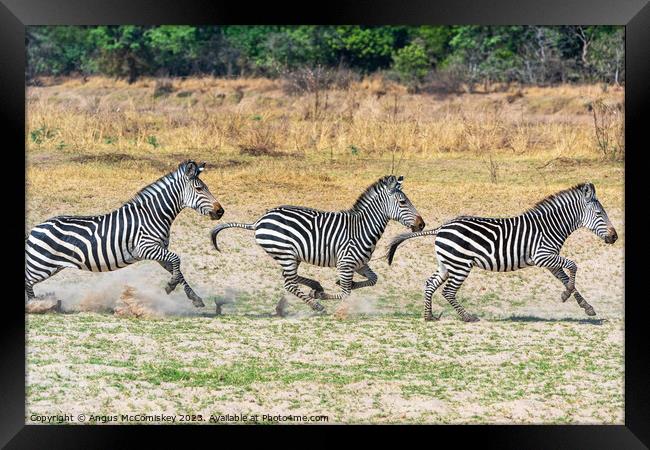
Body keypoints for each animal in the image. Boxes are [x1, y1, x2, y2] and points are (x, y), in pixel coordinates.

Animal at [24, 160, 223, 308]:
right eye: (199, 189)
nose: (220, 211)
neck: (152, 215)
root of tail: (36, 227)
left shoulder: (159, 251)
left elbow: (178, 270)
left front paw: (194, 298)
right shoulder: (146, 248)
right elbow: (177, 259)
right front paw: (169, 286)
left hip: (48, 265)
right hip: (41, 264)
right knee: (27, 280)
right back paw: (35, 306)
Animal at [210, 176, 422, 312]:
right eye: (403, 202)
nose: (422, 224)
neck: (362, 227)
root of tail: (259, 220)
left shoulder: (360, 263)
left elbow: (373, 279)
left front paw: (343, 284)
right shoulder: (346, 263)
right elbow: (345, 293)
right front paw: (323, 295)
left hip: (291, 256)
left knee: (289, 278)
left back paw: (315, 285)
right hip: (286, 254)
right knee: (289, 283)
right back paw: (316, 304)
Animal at [384, 184, 616, 324]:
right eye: (599, 214)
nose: (614, 237)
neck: (550, 226)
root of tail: (441, 227)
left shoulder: (549, 260)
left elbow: (566, 278)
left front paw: (585, 306)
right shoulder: (542, 256)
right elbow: (574, 266)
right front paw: (566, 295)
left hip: (446, 264)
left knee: (430, 284)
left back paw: (429, 315)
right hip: (460, 265)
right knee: (448, 292)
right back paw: (468, 317)